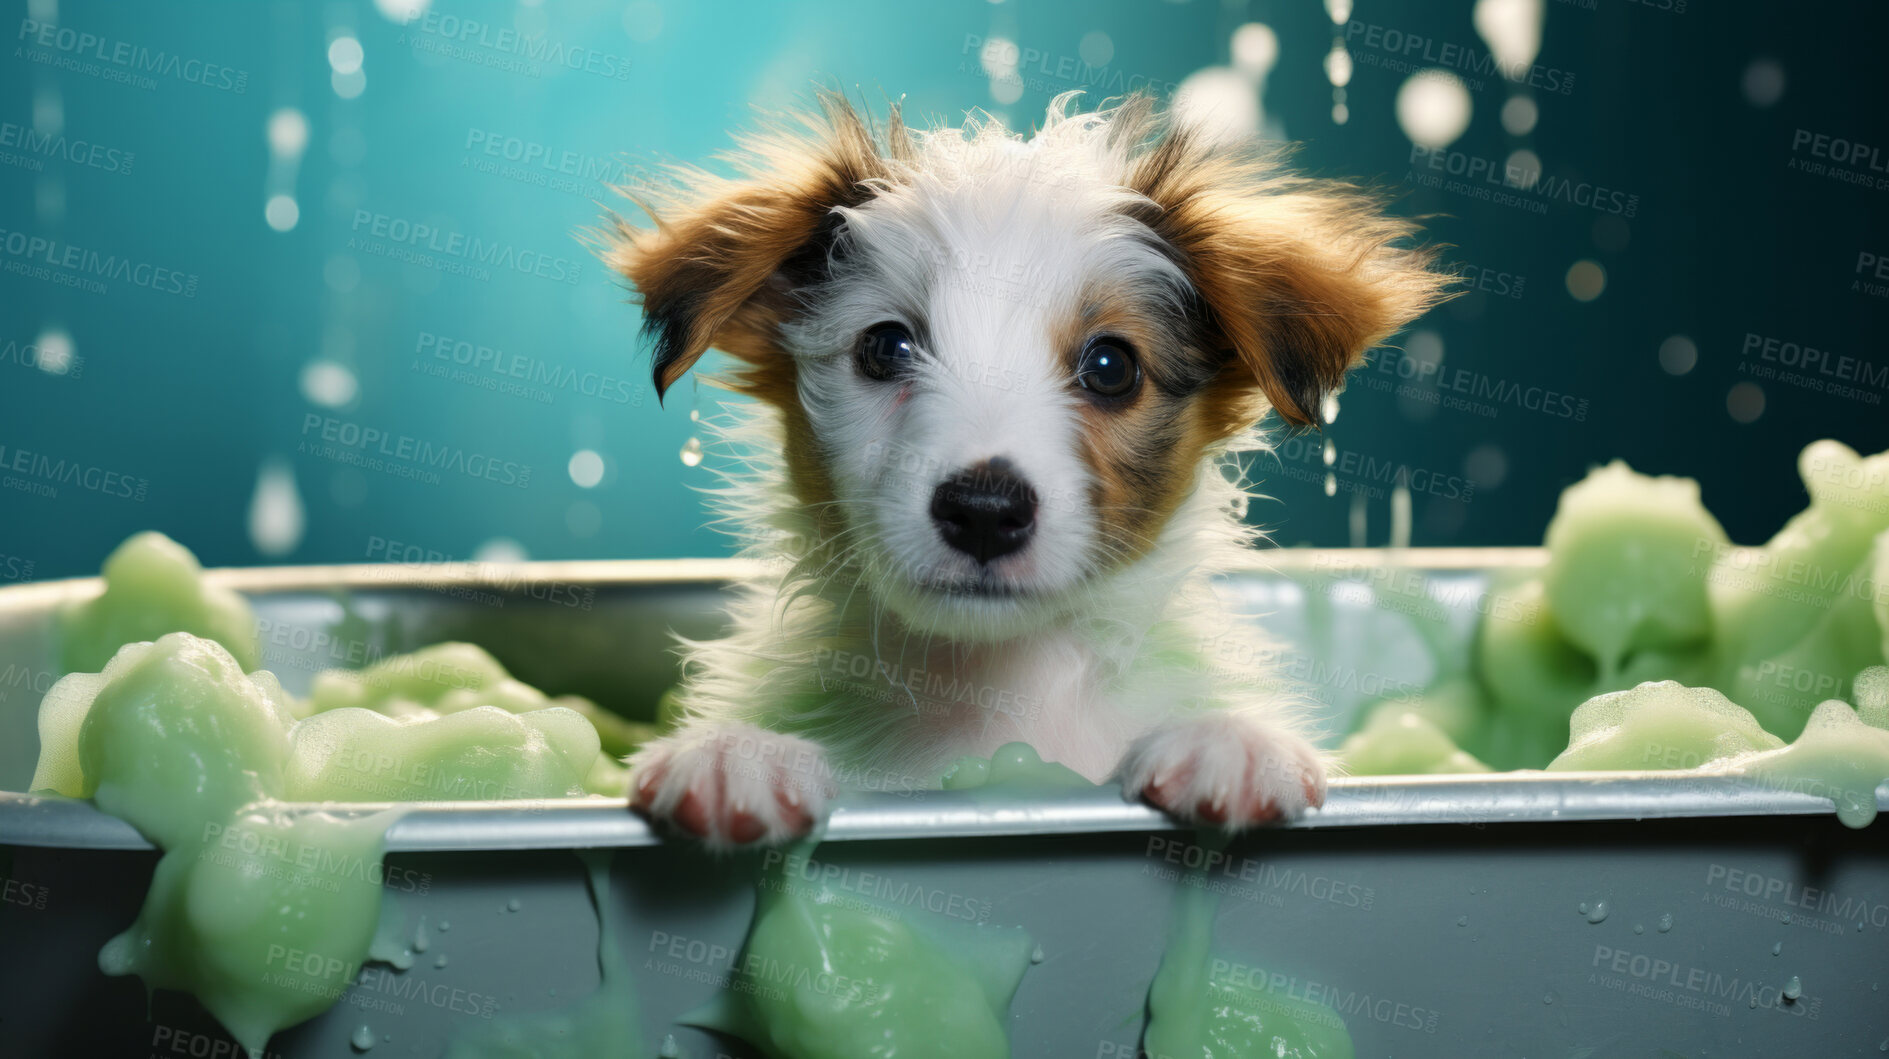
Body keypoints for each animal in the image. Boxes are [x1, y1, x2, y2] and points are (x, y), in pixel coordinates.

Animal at [604, 94, 1443, 845]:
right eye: (884, 346)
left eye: (1111, 366)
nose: (983, 511)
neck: (1001, 687)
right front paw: (738, 752)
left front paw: (1226, 738)